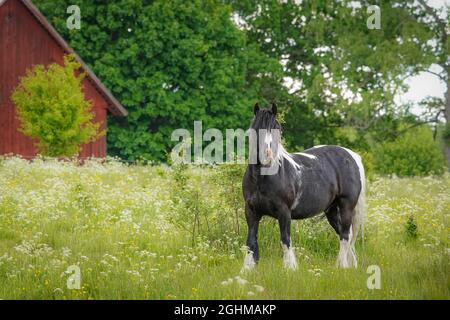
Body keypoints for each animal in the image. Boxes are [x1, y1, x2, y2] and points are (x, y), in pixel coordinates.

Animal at [243, 102, 366, 270]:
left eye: (277, 128)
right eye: (256, 128)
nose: (267, 156)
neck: (263, 178)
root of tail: (352, 156)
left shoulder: (284, 212)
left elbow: (285, 240)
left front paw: (290, 268)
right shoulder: (251, 212)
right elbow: (251, 242)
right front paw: (247, 270)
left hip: (346, 206)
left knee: (346, 235)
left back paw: (342, 265)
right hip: (332, 210)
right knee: (344, 233)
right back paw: (350, 265)